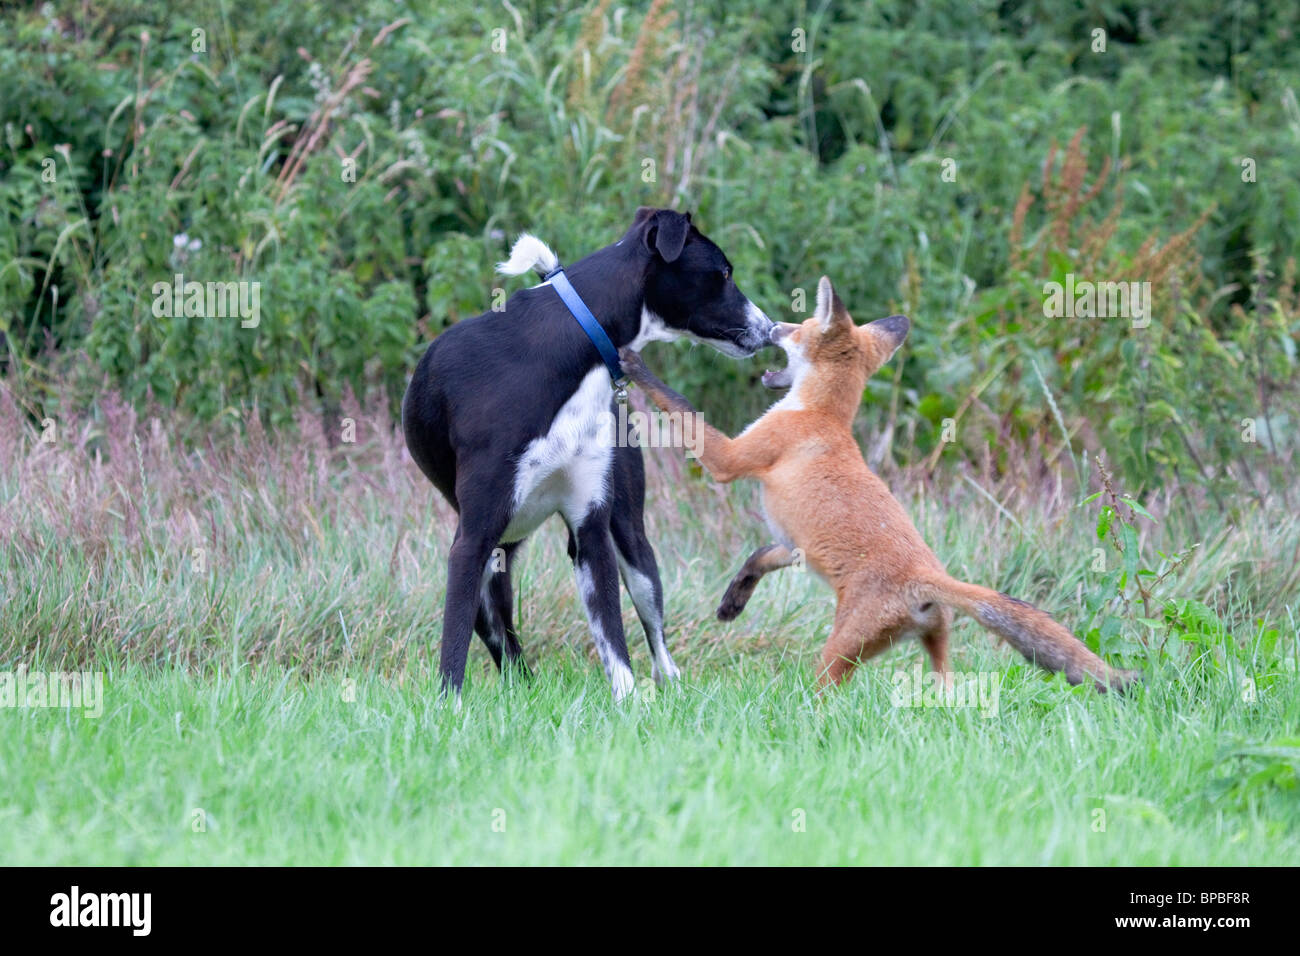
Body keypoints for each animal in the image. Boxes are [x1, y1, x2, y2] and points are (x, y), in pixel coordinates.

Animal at [403, 209, 769, 697]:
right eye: (724, 273)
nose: (769, 329)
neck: (568, 344)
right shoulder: (472, 540)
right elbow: (454, 645)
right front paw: (449, 707)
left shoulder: (590, 528)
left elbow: (615, 643)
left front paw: (631, 702)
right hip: (495, 559)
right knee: (500, 636)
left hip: (631, 539)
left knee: (653, 629)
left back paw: (670, 680)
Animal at [618, 277, 1138, 697]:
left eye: (799, 326)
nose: (771, 328)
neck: (822, 416)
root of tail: (930, 577)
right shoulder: (793, 544)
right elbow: (760, 556)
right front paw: (734, 599)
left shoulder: (732, 457)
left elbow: (680, 405)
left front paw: (635, 364)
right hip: (936, 650)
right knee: (947, 690)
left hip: (836, 653)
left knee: (822, 696)